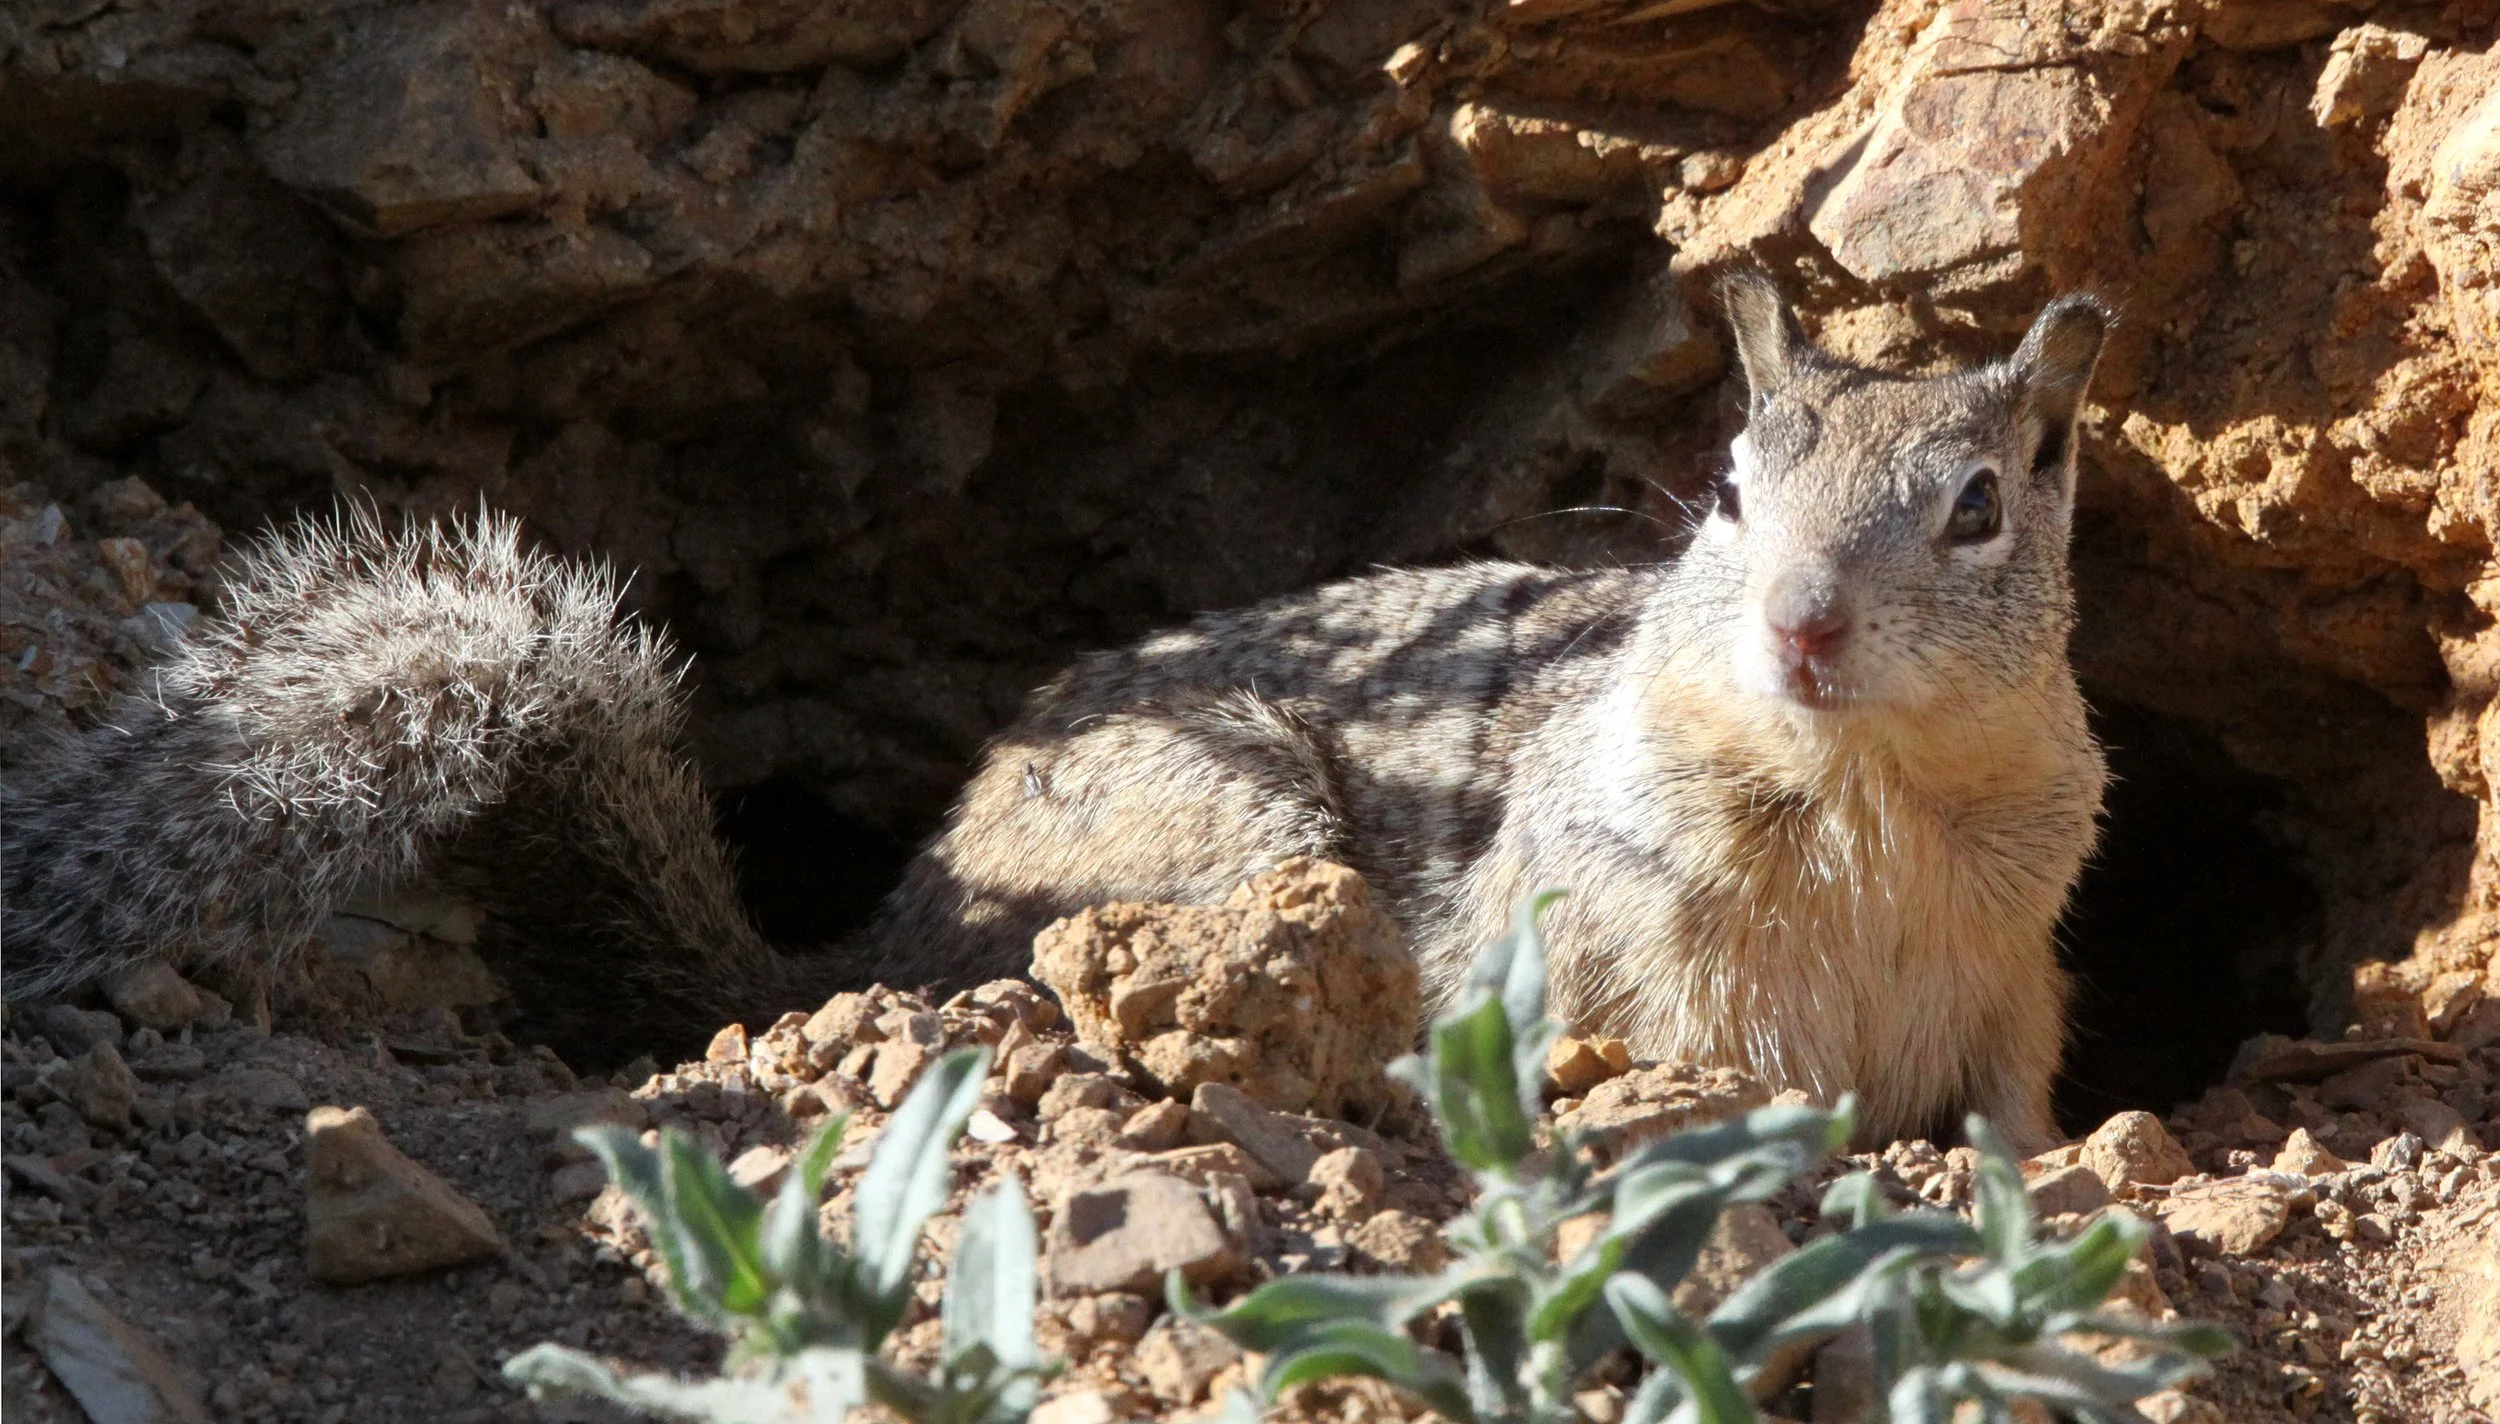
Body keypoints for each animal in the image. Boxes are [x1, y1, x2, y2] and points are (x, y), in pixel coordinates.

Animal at [2, 274, 2107, 1146]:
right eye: (1732, 484)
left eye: (1984, 501)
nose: (1803, 631)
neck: (1866, 788)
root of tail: (880, 936)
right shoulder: (1627, 951)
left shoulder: (2017, 973)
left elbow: (2015, 1107)